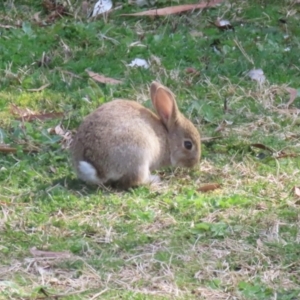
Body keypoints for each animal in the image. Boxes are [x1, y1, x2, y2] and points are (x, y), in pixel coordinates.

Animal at [70, 81, 202, 189]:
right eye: (188, 145)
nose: (195, 162)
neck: (168, 138)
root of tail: (98, 169)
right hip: (139, 156)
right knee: (134, 180)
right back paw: (154, 179)